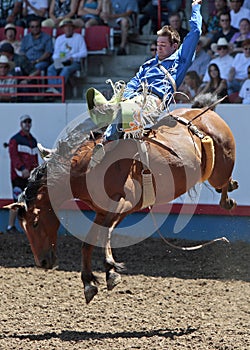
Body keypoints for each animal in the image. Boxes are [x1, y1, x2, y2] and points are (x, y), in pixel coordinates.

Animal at [6, 102, 238, 302]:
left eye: (35, 222)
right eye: (23, 226)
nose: (43, 262)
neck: (89, 167)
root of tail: (210, 115)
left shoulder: (124, 205)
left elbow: (104, 234)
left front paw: (110, 270)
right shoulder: (101, 211)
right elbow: (87, 242)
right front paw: (89, 282)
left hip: (220, 169)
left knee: (223, 183)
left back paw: (229, 196)